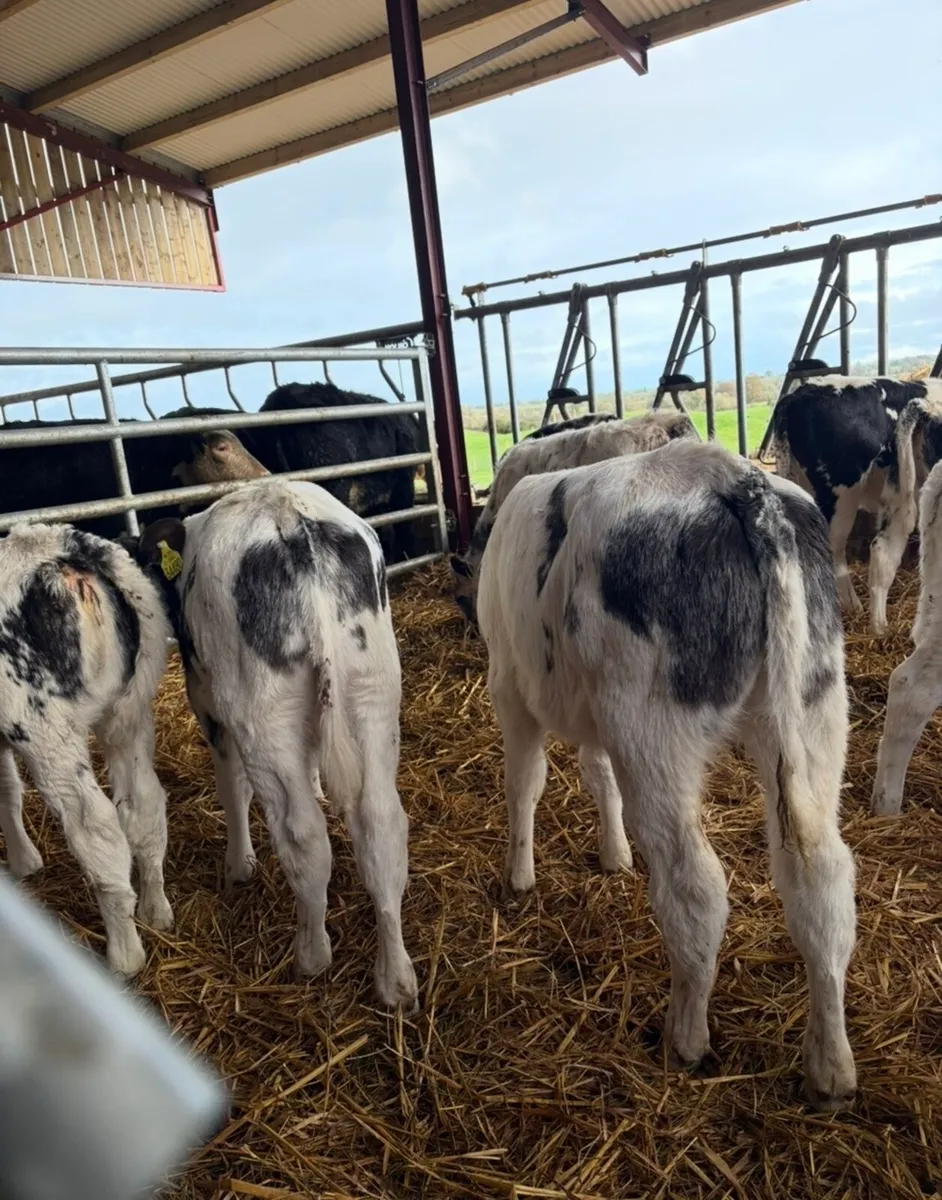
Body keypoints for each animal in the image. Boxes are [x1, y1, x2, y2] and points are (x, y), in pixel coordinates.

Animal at [0, 524, 173, 976]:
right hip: (128, 716)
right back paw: (155, 910)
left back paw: (124, 956)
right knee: (144, 805)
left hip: (43, 726)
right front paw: (25, 861)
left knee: (95, 826)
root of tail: (62, 552)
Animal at [121, 478, 418, 1010]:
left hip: (262, 715)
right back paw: (396, 979)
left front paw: (239, 865)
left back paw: (312, 956)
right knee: (381, 823)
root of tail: (290, 519)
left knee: (303, 834)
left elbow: (232, 787)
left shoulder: (209, 704)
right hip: (373, 691)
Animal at [476, 438, 857, 1111]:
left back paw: (685, 1036)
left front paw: (518, 875)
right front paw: (614, 854)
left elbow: (524, 782)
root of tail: (736, 481)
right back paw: (830, 1066)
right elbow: (596, 774)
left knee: (695, 884)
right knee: (822, 874)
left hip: (652, 729)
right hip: (815, 704)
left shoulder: (510, 688)